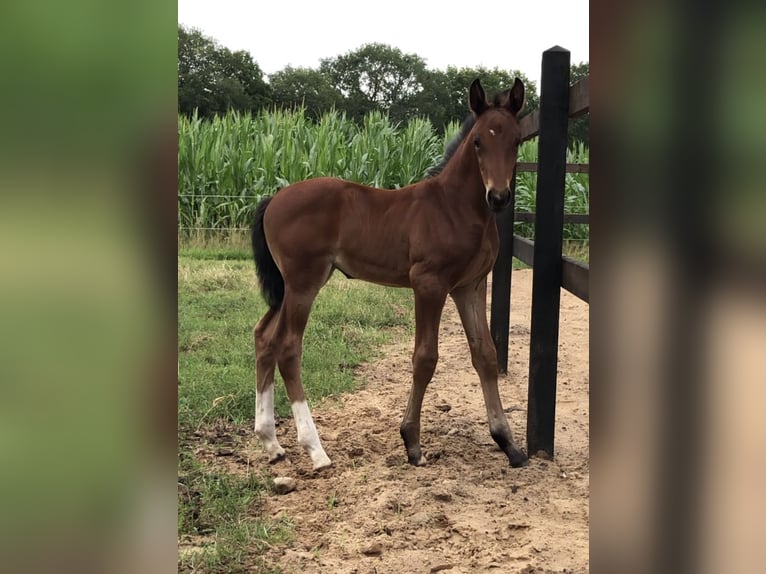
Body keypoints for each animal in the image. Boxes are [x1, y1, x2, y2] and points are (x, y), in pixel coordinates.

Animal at [252, 77, 528, 472]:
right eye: (478, 140)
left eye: (517, 140)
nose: (499, 196)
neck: (454, 207)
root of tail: (273, 199)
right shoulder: (428, 283)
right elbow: (425, 358)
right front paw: (412, 443)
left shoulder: (469, 287)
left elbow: (486, 355)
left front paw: (508, 443)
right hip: (304, 283)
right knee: (287, 346)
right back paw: (316, 450)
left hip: (288, 287)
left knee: (263, 337)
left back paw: (271, 443)